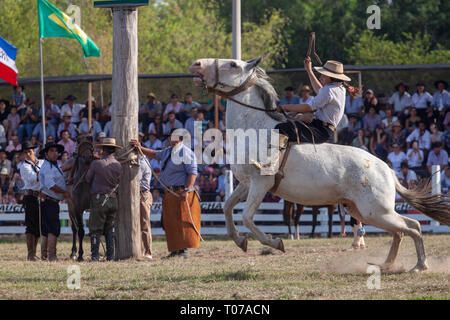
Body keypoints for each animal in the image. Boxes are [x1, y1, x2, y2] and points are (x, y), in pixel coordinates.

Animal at [190, 57, 450, 272]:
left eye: (232, 64)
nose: (197, 64)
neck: (255, 128)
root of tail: (385, 168)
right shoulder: (246, 184)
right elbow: (227, 208)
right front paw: (240, 240)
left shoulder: (260, 183)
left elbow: (246, 217)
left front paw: (276, 242)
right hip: (365, 211)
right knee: (401, 230)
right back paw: (386, 264)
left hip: (375, 211)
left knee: (412, 226)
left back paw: (419, 265)